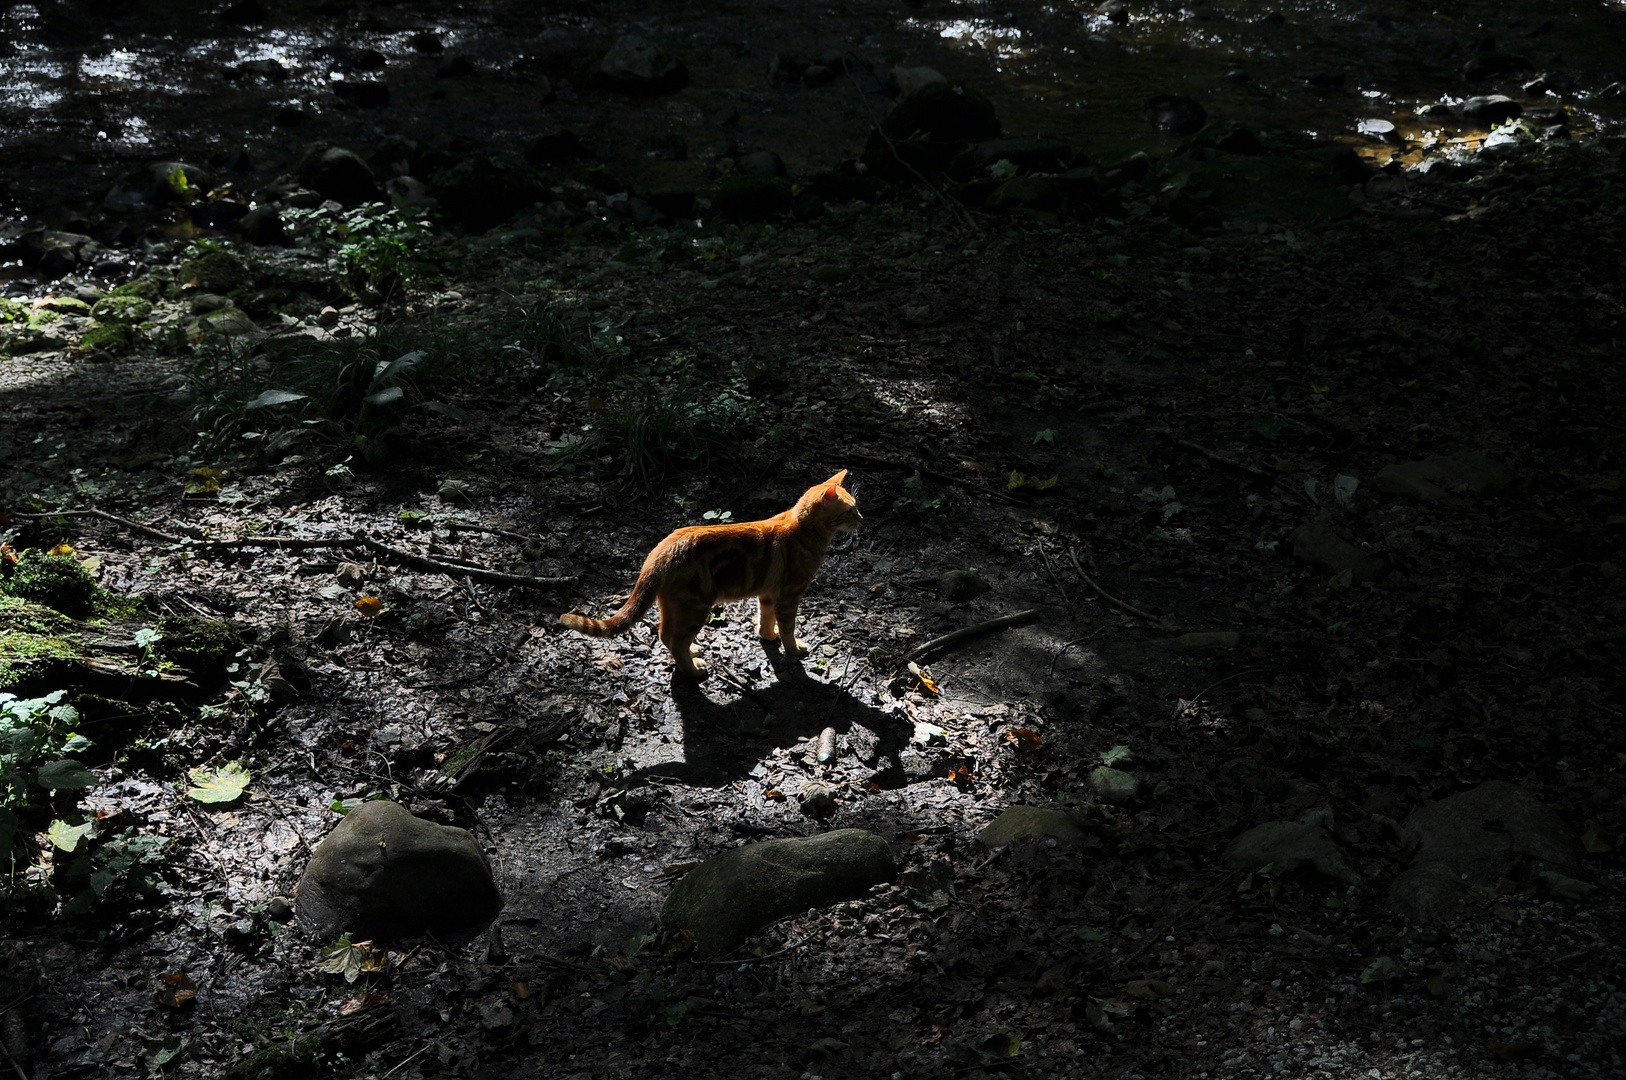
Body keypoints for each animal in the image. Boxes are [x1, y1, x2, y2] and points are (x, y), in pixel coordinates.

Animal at [562, 471, 865, 676]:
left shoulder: (768, 593)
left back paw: (692, 652)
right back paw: (694, 670)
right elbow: (788, 627)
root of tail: (659, 552)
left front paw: (767, 636)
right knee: (676, 639)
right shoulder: (790, 595)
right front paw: (793, 649)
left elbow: (766, 619)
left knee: (665, 634)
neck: (803, 528)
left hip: (673, 604)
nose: (862, 520)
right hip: (696, 606)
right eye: (850, 511)